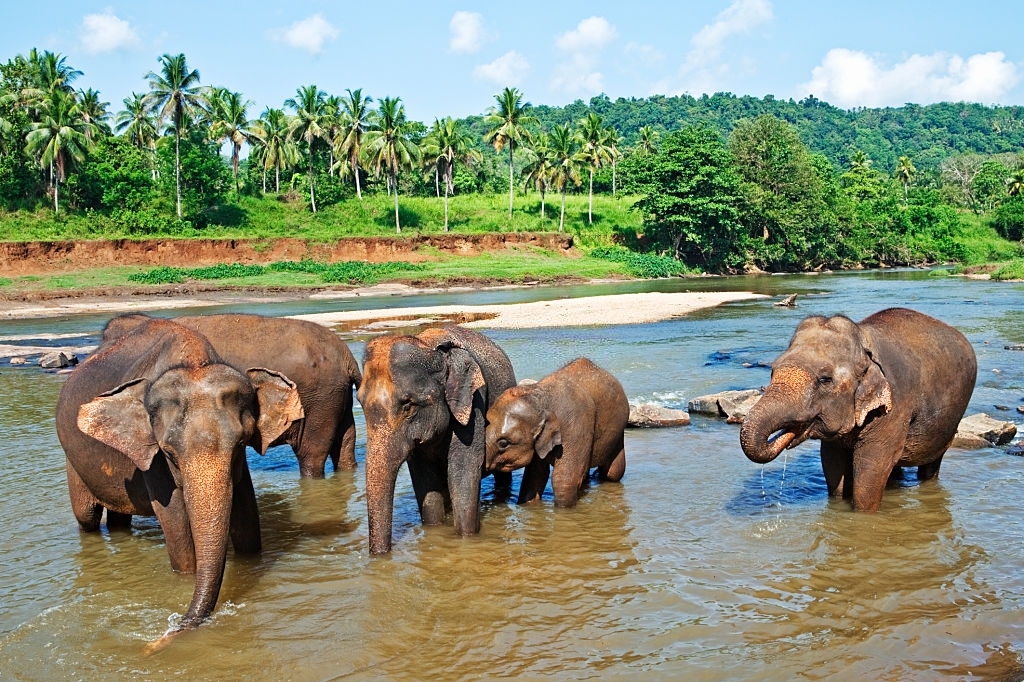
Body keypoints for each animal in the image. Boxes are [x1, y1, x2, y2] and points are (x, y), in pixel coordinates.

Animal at [56, 317, 303, 641]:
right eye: (169, 453)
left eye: (240, 444)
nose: (174, 628)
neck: (193, 360)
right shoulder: (153, 463)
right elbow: (177, 525)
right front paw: (186, 574)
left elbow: (247, 518)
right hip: (73, 462)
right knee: (86, 517)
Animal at [357, 325, 515, 555]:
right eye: (359, 403)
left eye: (408, 405)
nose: (377, 556)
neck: (429, 346)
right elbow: (426, 481)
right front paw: (434, 529)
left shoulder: (473, 402)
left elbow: (463, 470)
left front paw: (466, 540)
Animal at [485, 357, 629, 507]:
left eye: (503, 443)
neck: (540, 395)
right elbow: (535, 476)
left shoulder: (575, 426)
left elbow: (563, 481)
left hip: (618, 432)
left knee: (613, 472)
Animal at [739, 307, 977, 511]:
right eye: (772, 371)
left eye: (825, 379)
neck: (864, 344)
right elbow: (833, 465)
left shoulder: (896, 406)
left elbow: (872, 466)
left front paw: (864, 515)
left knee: (931, 464)